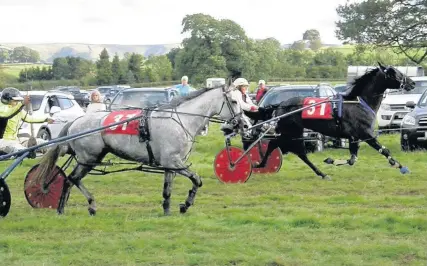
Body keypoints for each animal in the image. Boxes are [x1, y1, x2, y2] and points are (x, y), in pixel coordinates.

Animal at [31, 85, 242, 216]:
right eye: (233, 101)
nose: (241, 123)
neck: (180, 120)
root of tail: (76, 121)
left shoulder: (170, 165)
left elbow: (167, 190)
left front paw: (168, 210)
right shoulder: (174, 162)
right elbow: (197, 180)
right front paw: (185, 205)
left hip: (90, 158)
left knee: (70, 180)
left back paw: (72, 207)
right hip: (88, 158)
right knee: (72, 179)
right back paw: (76, 206)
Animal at [252, 62, 416, 180]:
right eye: (394, 72)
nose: (412, 83)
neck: (359, 103)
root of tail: (280, 105)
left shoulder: (353, 137)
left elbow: (352, 159)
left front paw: (330, 160)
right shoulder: (365, 134)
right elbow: (384, 150)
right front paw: (402, 167)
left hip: (292, 134)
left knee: (293, 151)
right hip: (290, 132)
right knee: (278, 145)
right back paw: (260, 164)